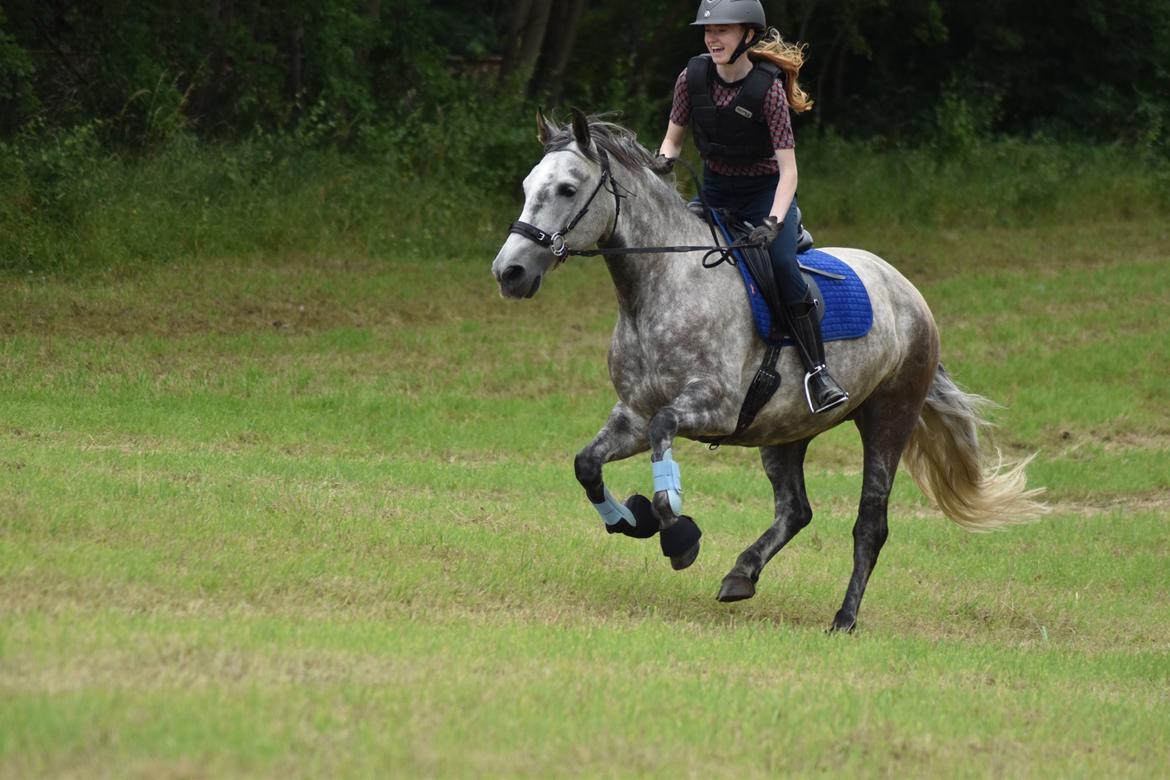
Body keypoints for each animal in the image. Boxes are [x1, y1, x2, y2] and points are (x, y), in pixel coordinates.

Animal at [489, 109, 1048, 631]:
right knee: (795, 509)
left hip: (889, 419)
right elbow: (587, 464)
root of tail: (910, 293)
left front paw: (677, 535)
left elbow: (665, 440)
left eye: (567, 188)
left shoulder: (711, 408)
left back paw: (844, 618)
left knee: (870, 523)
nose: (508, 272)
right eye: (527, 187)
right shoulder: (632, 413)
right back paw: (742, 574)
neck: (661, 285)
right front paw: (631, 518)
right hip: (784, 433)